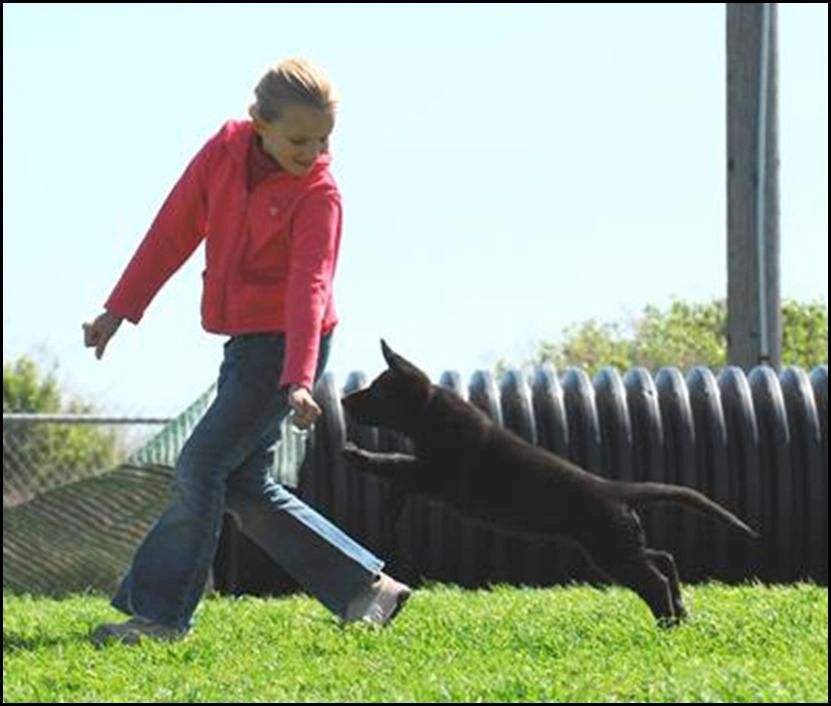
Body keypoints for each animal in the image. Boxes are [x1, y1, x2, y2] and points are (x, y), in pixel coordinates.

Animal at [340, 340, 760, 620]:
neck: (430, 413)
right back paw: (681, 610)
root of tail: (614, 490)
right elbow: (401, 473)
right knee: (663, 558)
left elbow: (397, 463)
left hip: (612, 551)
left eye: (376, 391)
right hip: (617, 547)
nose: (343, 401)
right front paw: (390, 505)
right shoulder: (428, 474)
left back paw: (668, 622)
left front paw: (358, 456)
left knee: (653, 580)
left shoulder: (437, 474)